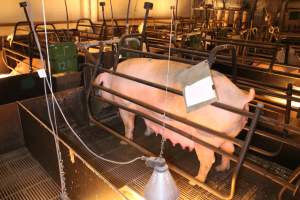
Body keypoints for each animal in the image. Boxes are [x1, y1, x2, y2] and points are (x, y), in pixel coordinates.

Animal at [95, 57, 254, 183]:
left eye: (101, 86)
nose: (99, 100)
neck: (113, 80)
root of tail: (241, 97)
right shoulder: (147, 110)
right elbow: (147, 121)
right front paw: (147, 133)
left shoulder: (125, 104)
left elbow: (128, 125)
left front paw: (124, 141)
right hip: (228, 134)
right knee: (230, 149)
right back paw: (221, 169)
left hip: (205, 136)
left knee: (208, 160)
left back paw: (196, 180)